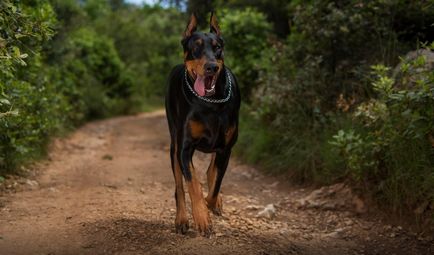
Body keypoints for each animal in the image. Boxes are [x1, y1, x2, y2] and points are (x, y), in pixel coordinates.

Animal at [165, 11, 241, 235]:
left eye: (217, 47)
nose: (211, 67)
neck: (209, 103)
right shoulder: (184, 148)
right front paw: (201, 217)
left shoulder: (225, 148)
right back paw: (182, 219)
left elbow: (215, 186)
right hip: (173, 144)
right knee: (179, 186)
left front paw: (212, 204)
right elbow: (192, 184)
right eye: (196, 46)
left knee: (211, 172)